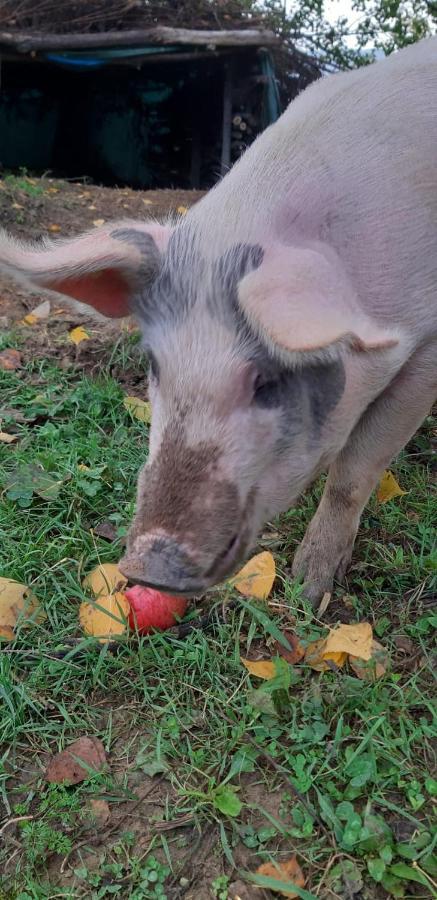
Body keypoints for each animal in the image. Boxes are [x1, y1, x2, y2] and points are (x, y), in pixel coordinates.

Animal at [0, 38, 436, 608]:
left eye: (266, 380)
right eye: (154, 366)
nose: (147, 566)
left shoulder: (425, 348)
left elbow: (352, 475)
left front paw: (309, 590)